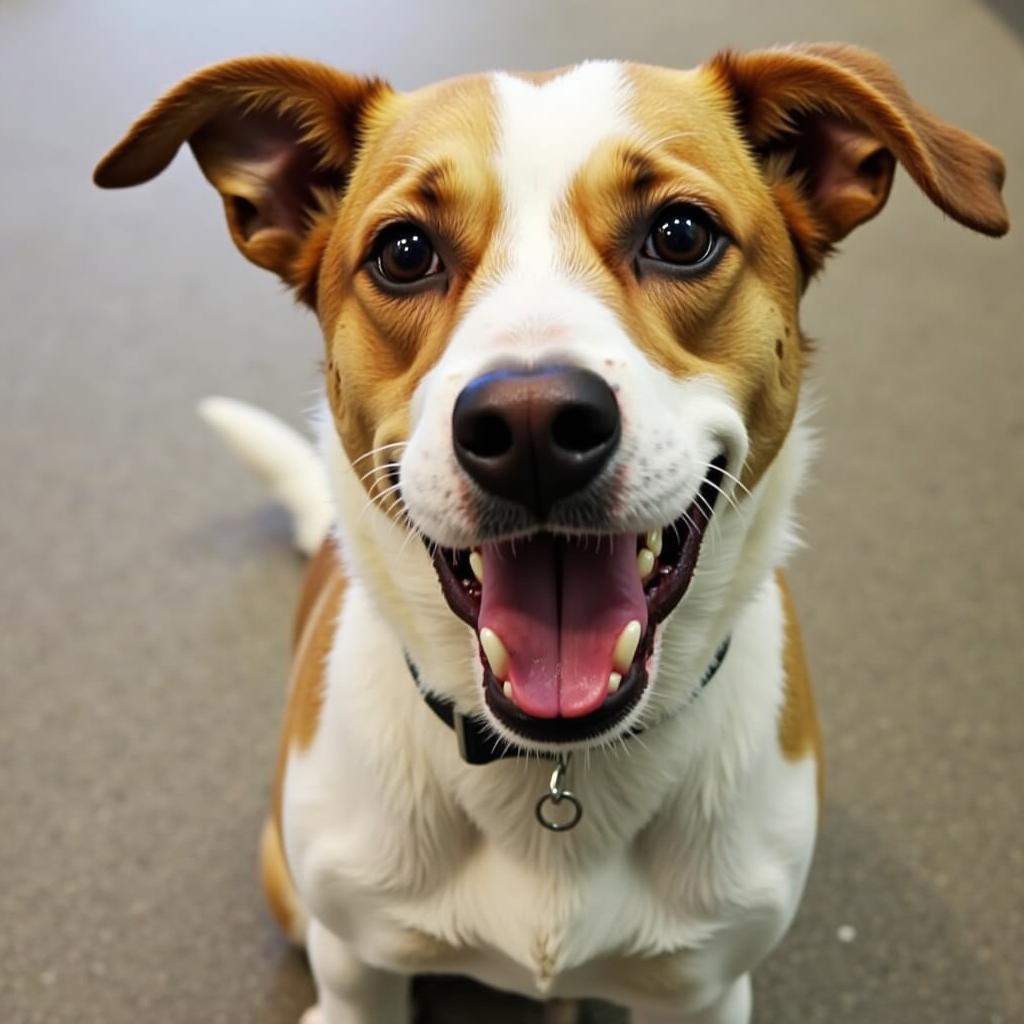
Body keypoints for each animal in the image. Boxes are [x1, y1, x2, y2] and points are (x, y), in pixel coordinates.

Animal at [96, 44, 1007, 1019]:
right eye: (404, 252)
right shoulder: (358, 967)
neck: (557, 768)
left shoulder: (706, 988)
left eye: (680, 234)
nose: (530, 426)